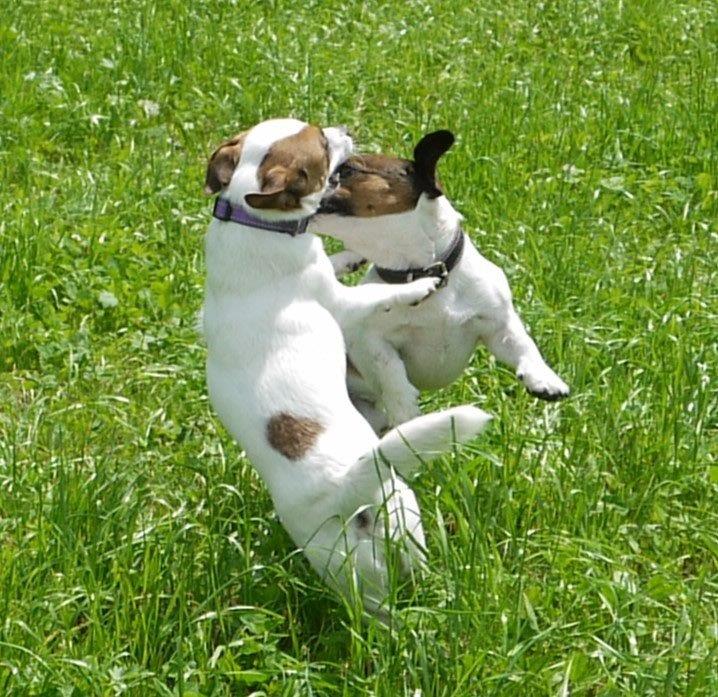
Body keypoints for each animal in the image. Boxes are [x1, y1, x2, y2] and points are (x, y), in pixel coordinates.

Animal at [202, 119, 492, 616]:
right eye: (322, 141)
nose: (342, 127)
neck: (248, 214)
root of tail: (342, 492)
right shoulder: (338, 302)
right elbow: (374, 295)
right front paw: (418, 286)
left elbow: (340, 262)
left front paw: (353, 255)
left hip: (391, 535)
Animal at [312, 130, 569, 430]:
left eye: (348, 170)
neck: (424, 269)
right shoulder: (367, 338)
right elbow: (388, 369)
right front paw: (405, 404)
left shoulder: (497, 322)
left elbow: (522, 343)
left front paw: (545, 379)